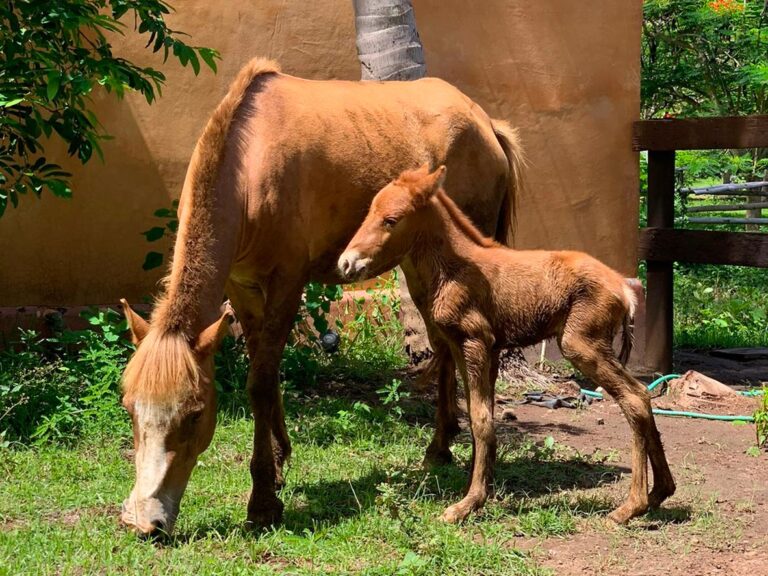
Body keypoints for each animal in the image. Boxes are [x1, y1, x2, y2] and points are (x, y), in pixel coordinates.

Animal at [120, 58, 524, 536]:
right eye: (130, 409)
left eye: (195, 413)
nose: (145, 520)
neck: (247, 169)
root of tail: (486, 124)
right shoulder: (241, 288)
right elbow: (266, 374)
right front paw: (278, 465)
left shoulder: (287, 283)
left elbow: (259, 383)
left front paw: (262, 500)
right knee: (442, 346)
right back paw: (439, 448)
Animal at [340, 164, 676, 524]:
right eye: (370, 212)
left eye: (391, 219)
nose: (346, 263)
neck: (450, 270)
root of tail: (625, 290)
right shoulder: (471, 348)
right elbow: (479, 415)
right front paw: (478, 488)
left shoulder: (476, 342)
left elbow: (481, 419)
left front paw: (468, 503)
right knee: (643, 394)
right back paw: (660, 492)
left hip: (580, 343)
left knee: (634, 398)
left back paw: (631, 505)